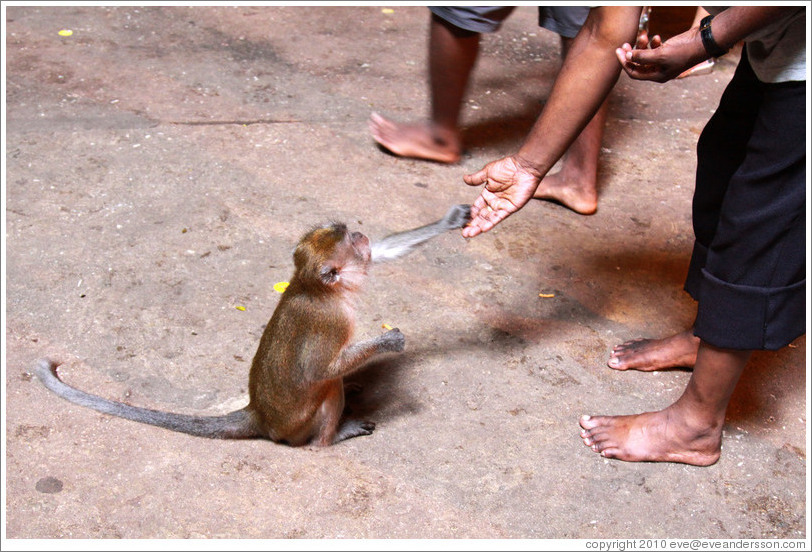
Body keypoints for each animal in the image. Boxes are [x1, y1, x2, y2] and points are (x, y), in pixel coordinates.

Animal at [35, 205, 472, 446]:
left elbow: (383, 254)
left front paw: (451, 219)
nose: (363, 234)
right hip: (297, 426)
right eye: (351, 239)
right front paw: (388, 342)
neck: (316, 289)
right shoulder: (330, 321)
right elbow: (318, 371)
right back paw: (331, 439)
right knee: (328, 388)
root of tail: (258, 414)